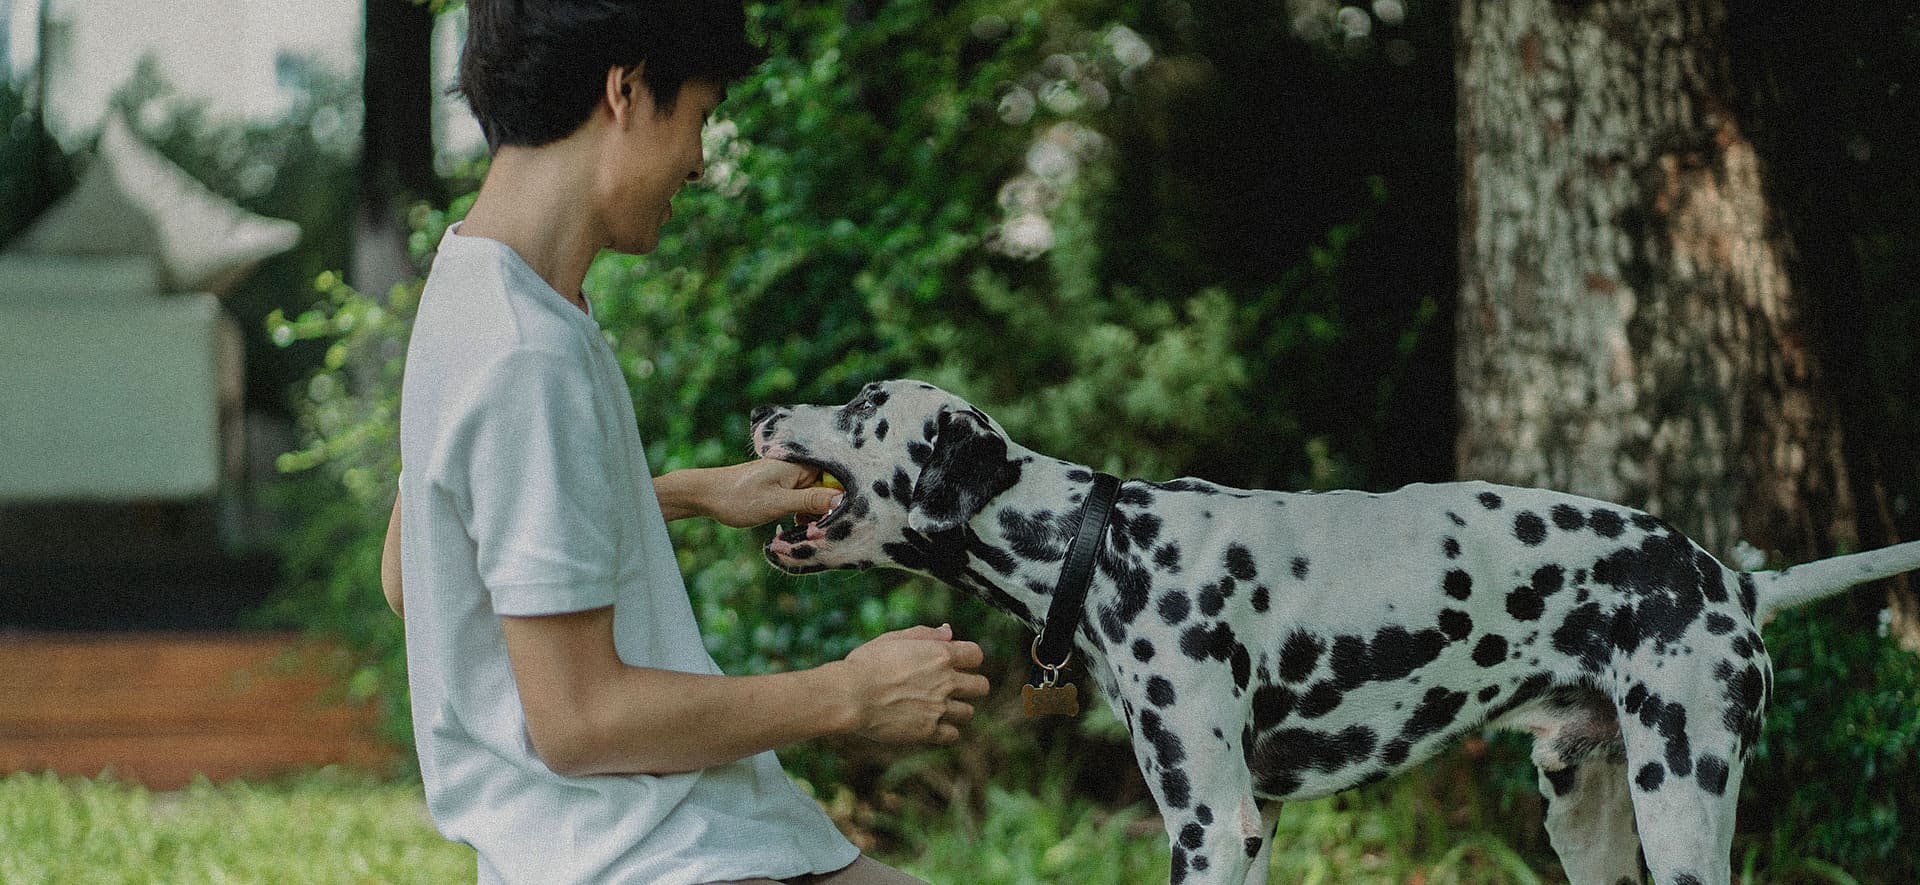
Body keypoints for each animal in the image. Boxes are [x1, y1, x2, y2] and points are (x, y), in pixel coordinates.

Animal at [744, 380, 1920, 883]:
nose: (761, 410)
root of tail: (1731, 579)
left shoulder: (1211, 825)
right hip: (1587, 817)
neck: (1102, 541)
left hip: (1682, 801)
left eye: (861, 408)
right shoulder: (1246, 824)